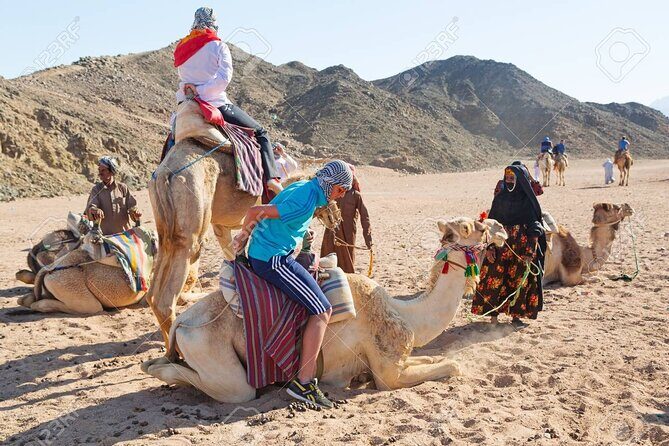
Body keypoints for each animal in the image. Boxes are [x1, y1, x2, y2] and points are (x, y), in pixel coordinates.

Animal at [141, 216, 508, 403]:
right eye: (476, 227)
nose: (502, 229)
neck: (406, 314)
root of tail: (183, 323)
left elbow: (434, 360)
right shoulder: (389, 372)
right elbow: (452, 366)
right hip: (218, 361)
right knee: (229, 388)